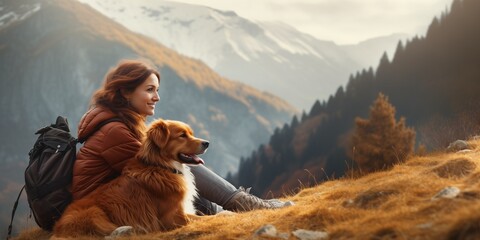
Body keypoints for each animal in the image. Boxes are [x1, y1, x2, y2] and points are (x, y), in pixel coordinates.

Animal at [52, 119, 208, 237]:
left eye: (191, 134)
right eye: (182, 135)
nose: (207, 143)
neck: (161, 166)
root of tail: (57, 230)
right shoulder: (172, 218)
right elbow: (205, 218)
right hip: (92, 213)